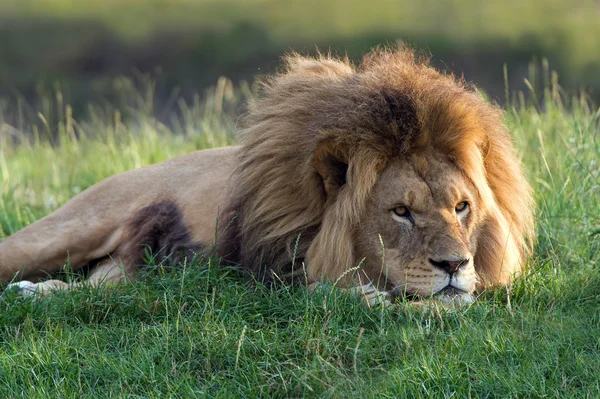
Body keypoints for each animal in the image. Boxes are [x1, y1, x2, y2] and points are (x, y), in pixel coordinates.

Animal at [0, 46, 536, 306]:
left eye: (461, 207)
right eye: (401, 212)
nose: (455, 265)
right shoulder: (244, 275)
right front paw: (360, 294)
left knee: (97, 287)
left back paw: (35, 294)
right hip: (65, 231)